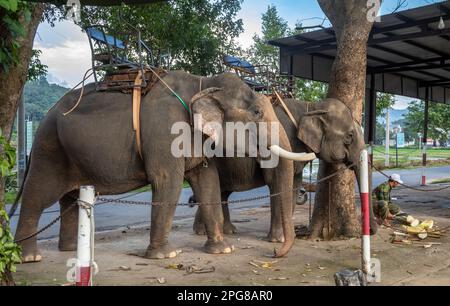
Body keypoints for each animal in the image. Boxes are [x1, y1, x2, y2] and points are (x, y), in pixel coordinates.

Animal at [11, 71, 310, 262]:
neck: (203, 82)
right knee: (38, 195)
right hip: (49, 148)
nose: (273, 253)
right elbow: (169, 181)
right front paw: (167, 255)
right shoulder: (165, 131)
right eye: (257, 113)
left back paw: (70, 249)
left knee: (69, 198)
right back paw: (30, 257)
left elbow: (207, 181)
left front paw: (223, 250)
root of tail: (46, 114)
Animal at [193, 97, 376, 239]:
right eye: (349, 136)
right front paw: (278, 239)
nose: (370, 230)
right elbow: (276, 182)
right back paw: (205, 232)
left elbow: (294, 185)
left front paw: (289, 236)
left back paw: (224, 231)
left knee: (221, 191)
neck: (311, 106)